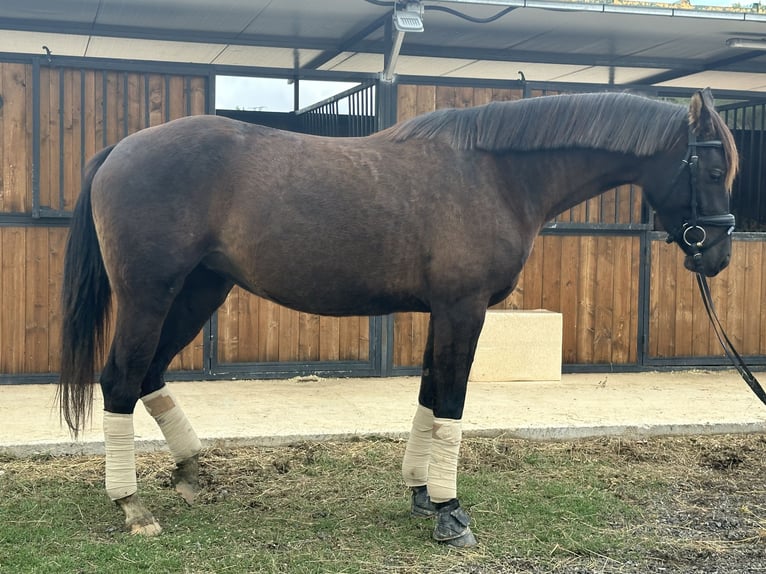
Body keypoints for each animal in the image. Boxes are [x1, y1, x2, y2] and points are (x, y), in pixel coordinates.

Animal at [58, 89, 736, 548]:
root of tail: (121, 148)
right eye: (711, 168)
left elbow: (430, 395)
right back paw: (132, 505)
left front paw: (420, 493)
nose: (719, 256)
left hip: (199, 291)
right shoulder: (463, 309)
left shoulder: (444, 312)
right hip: (150, 296)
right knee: (120, 380)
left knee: (148, 375)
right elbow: (452, 401)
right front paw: (450, 511)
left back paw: (190, 472)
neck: (496, 173)